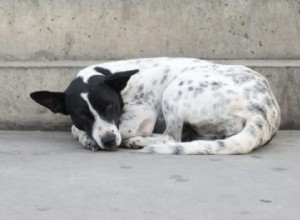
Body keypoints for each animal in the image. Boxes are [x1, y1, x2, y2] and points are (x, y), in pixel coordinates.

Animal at [29, 58, 280, 155]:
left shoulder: (142, 115)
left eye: (109, 105)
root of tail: (263, 110)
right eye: (82, 115)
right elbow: (76, 128)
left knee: (171, 137)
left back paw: (138, 142)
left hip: (174, 90)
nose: (109, 142)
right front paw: (87, 137)